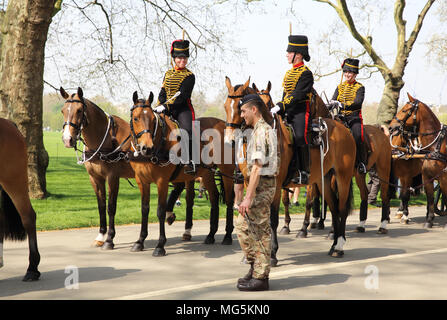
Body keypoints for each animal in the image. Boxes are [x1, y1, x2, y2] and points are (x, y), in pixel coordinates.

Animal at [128, 91, 236, 256]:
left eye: (153, 119)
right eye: (136, 118)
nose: (147, 147)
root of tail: (223, 124)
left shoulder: (162, 181)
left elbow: (160, 210)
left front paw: (160, 245)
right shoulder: (142, 181)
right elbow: (144, 209)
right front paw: (140, 241)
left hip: (226, 171)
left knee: (229, 200)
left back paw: (228, 236)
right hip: (207, 174)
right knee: (214, 197)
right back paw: (211, 235)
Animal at [224, 77, 356, 260]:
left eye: (239, 108)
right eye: (225, 106)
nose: (229, 141)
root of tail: (342, 128)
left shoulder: (277, 184)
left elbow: (272, 218)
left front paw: (272, 253)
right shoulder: (248, 182)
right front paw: (250, 254)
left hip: (342, 177)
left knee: (342, 209)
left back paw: (339, 246)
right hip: (324, 179)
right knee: (335, 209)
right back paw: (333, 244)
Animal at [388, 94, 447, 229]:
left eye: (405, 110)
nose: (391, 127)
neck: (436, 145)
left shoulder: (442, 177)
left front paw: (405, 215)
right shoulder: (424, 176)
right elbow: (427, 197)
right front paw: (428, 220)